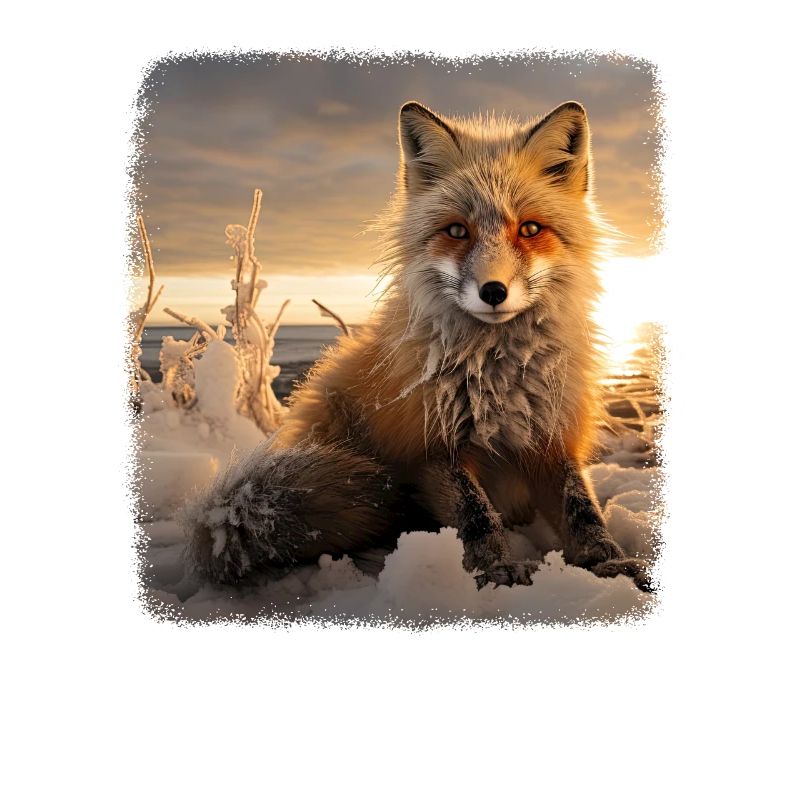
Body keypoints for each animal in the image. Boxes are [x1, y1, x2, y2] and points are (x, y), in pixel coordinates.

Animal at [183, 100, 651, 592]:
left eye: (529, 229)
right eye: (458, 231)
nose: (493, 291)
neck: (499, 379)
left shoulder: (552, 437)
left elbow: (582, 511)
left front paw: (611, 563)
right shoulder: (431, 447)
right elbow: (476, 516)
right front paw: (495, 571)